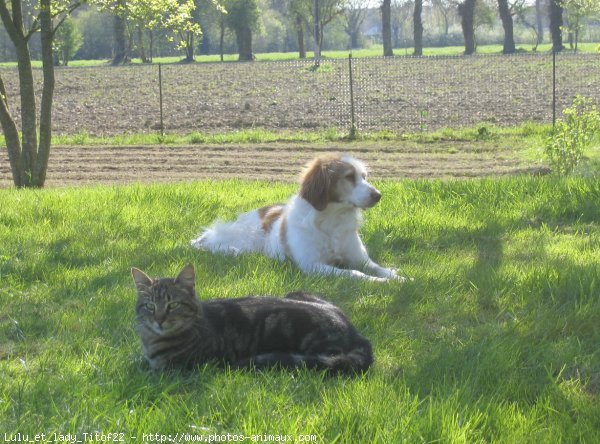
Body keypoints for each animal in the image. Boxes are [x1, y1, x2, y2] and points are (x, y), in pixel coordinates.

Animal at [192, 154, 404, 282]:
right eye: (349, 177)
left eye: (364, 176)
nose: (378, 195)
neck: (333, 219)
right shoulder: (312, 265)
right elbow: (355, 273)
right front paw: (379, 282)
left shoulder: (360, 259)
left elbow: (378, 268)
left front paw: (399, 278)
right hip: (247, 239)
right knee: (216, 244)